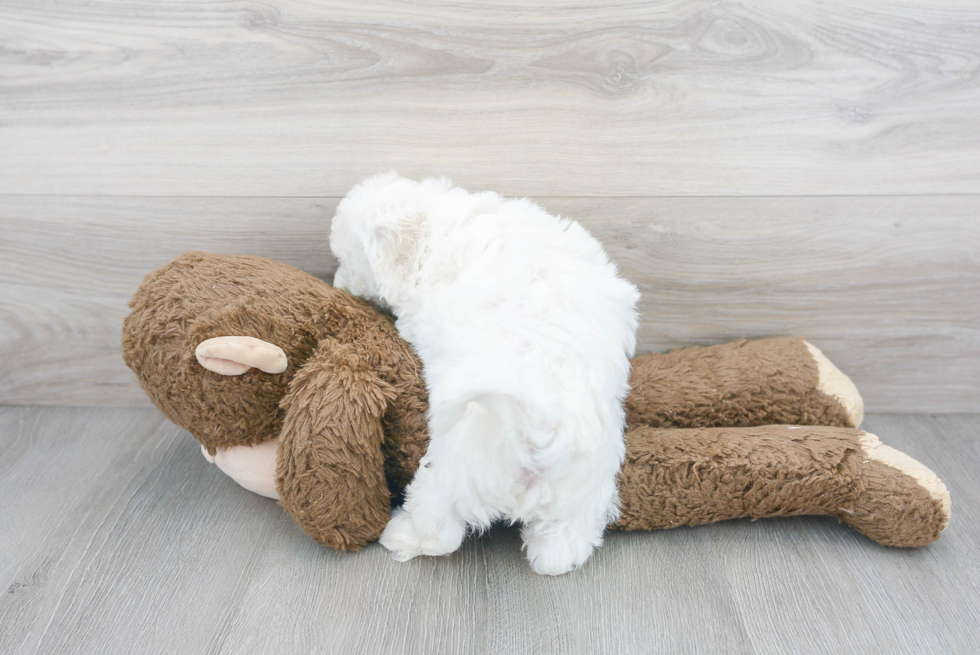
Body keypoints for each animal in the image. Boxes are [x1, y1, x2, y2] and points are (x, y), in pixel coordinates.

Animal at [332, 173, 644, 576]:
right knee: (563, 547)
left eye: (347, 259)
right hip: (581, 494)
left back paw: (400, 533)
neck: (441, 222)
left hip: (451, 470)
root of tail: (539, 432)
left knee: (439, 530)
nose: (335, 282)